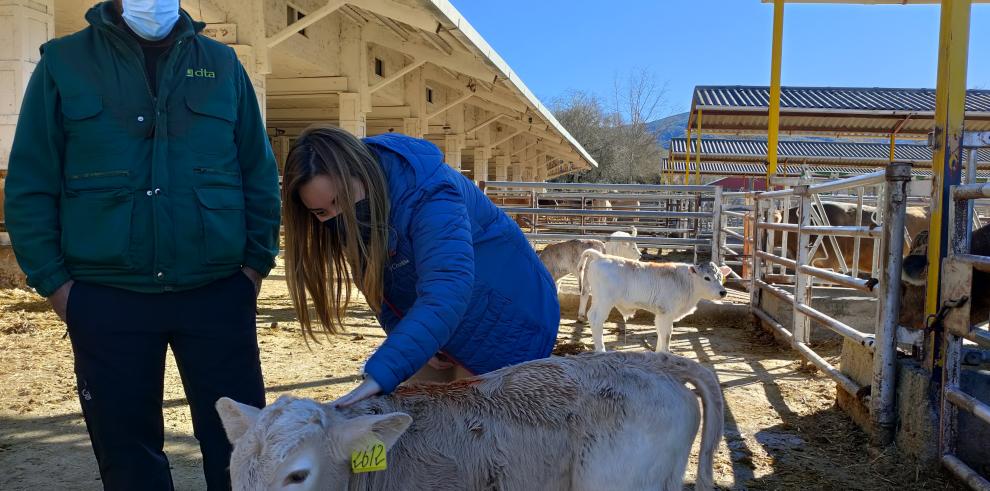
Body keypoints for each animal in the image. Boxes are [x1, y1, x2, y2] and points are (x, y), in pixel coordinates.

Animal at [576, 250, 732, 354]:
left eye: (720, 277)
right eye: (707, 278)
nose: (723, 292)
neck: (685, 281)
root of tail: (602, 256)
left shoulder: (661, 314)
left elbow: (660, 333)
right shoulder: (666, 313)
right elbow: (667, 335)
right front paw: (666, 353)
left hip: (597, 299)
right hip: (605, 301)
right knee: (597, 320)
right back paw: (601, 350)